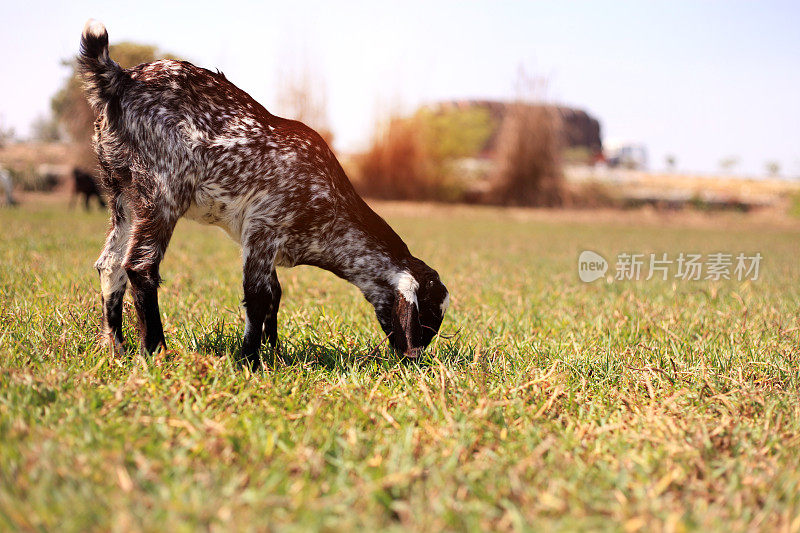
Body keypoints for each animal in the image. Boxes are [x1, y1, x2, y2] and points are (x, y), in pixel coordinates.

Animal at [77, 19, 450, 366]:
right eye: (427, 320)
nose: (413, 357)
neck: (330, 203)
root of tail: (119, 78)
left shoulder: (262, 242)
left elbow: (275, 294)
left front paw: (274, 352)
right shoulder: (264, 226)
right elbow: (257, 297)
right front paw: (249, 360)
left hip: (122, 196)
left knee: (109, 265)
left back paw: (116, 349)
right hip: (162, 192)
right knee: (140, 267)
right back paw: (156, 350)